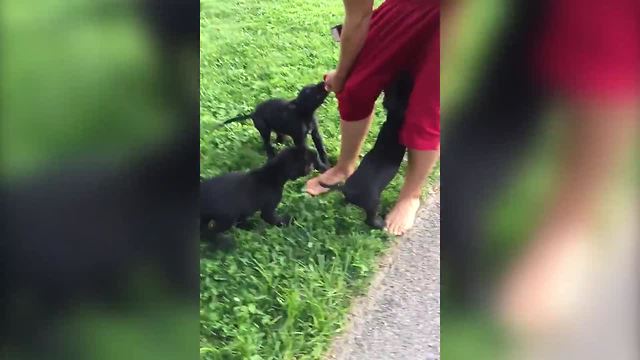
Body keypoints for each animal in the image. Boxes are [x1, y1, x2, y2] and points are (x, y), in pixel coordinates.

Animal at [320, 74, 416, 228]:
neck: (394, 120)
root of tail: (346, 189)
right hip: (373, 204)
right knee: (369, 219)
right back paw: (380, 224)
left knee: (344, 202)